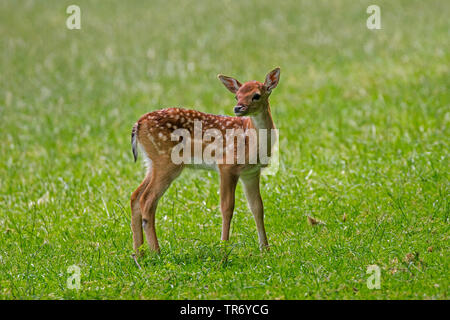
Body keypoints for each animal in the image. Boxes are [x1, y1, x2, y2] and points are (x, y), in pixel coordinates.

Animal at [128, 67, 280, 255]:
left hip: (151, 162)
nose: (238, 108)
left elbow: (257, 207)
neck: (251, 141)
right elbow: (227, 207)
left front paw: (265, 250)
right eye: (236, 96)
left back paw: (139, 254)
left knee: (135, 196)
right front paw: (224, 250)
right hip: (167, 162)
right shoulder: (227, 165)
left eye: (256, 95)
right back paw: (157, 252)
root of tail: (137, 124)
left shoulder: (251, 173)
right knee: (147, 200)